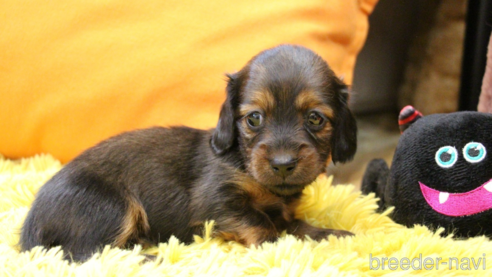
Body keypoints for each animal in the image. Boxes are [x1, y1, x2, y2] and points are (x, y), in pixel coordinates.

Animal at [20, 44, 358, 260]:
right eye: (254, 118)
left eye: (315, 119)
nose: (283, 164)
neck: (242, 162)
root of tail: (29, 229)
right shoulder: (216, 201)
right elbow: (260, 221)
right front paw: (278, 245)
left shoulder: (283, 210)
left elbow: (296, 224)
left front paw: (331, 234)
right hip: (111, 206)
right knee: (87, 254)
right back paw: (150, 258)